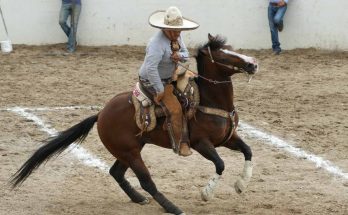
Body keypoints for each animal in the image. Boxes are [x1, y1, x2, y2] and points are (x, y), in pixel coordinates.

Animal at [10, 34, 258, 215]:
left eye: (232, 49)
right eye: (224, 56)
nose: (253, 64)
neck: (208, 100)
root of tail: (101, 113)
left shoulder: (228, 138)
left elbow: (248, 151)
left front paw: (241, 185)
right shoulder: (201, 144)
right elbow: (220, 164)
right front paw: (207, 193)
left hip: (129, 150)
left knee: (116, 172)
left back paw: (138, 198)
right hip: (131, 153)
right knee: (146, 181)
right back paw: (172, 207)